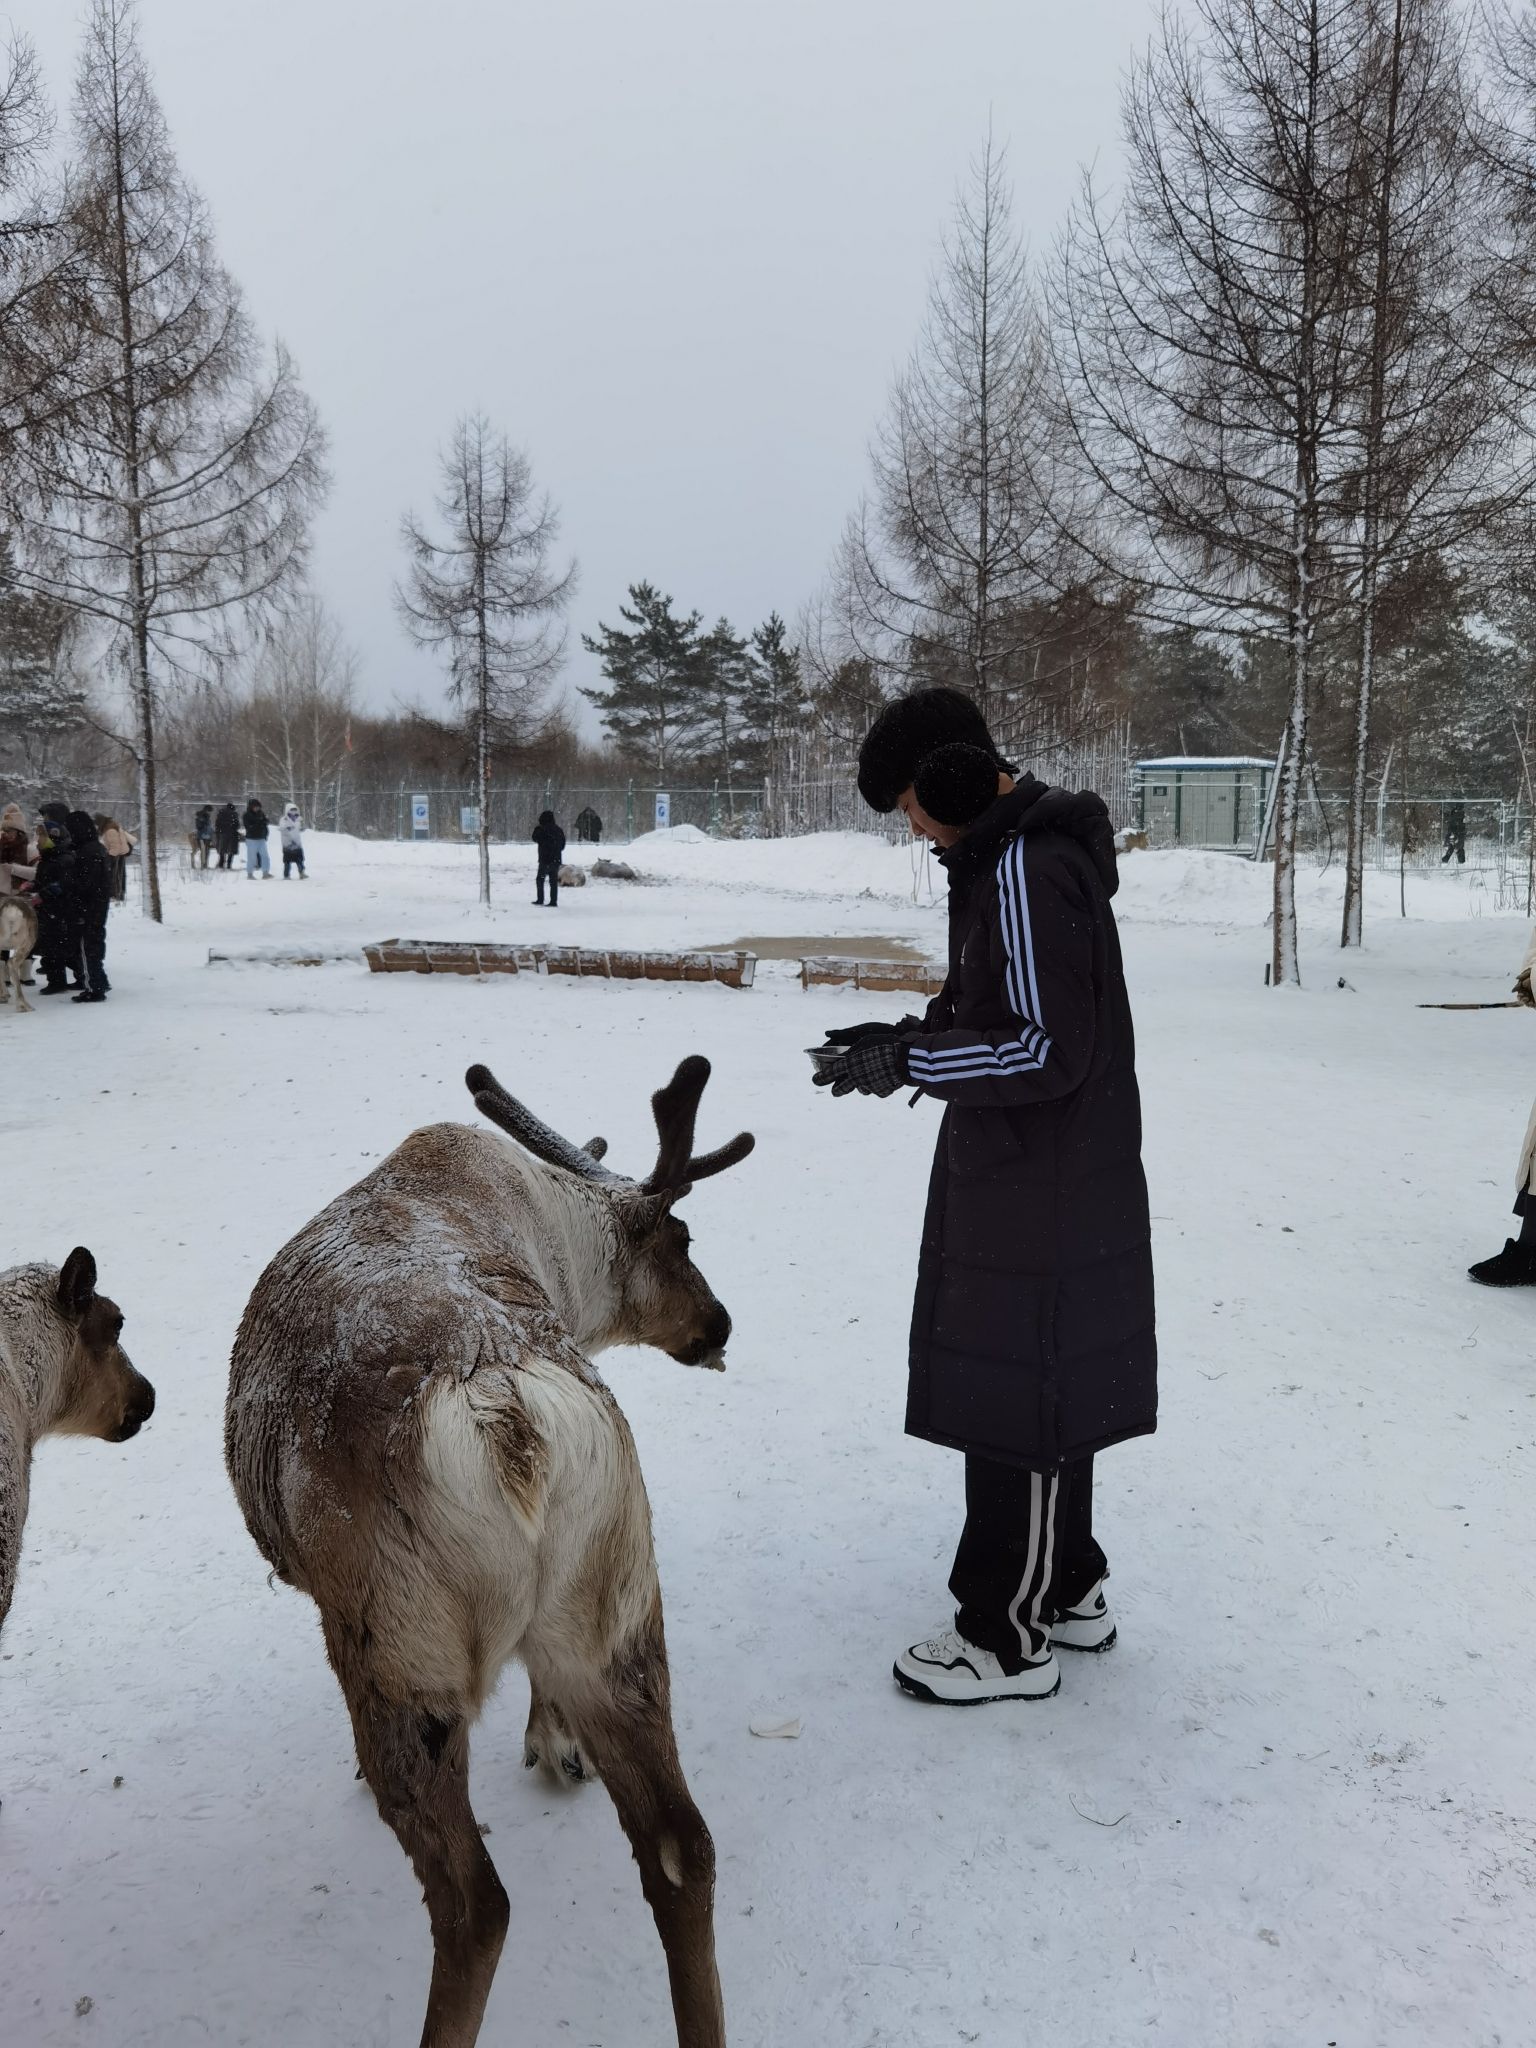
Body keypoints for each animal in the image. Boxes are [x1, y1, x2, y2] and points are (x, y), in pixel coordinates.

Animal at [224, 1053, 755, 2048]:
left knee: (477, 1906)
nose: (721, 1325)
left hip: (400, 1656)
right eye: (685, 1237)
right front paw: (555, 1743)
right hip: (623, 1603)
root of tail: (509, 1418)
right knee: (686, 1848)